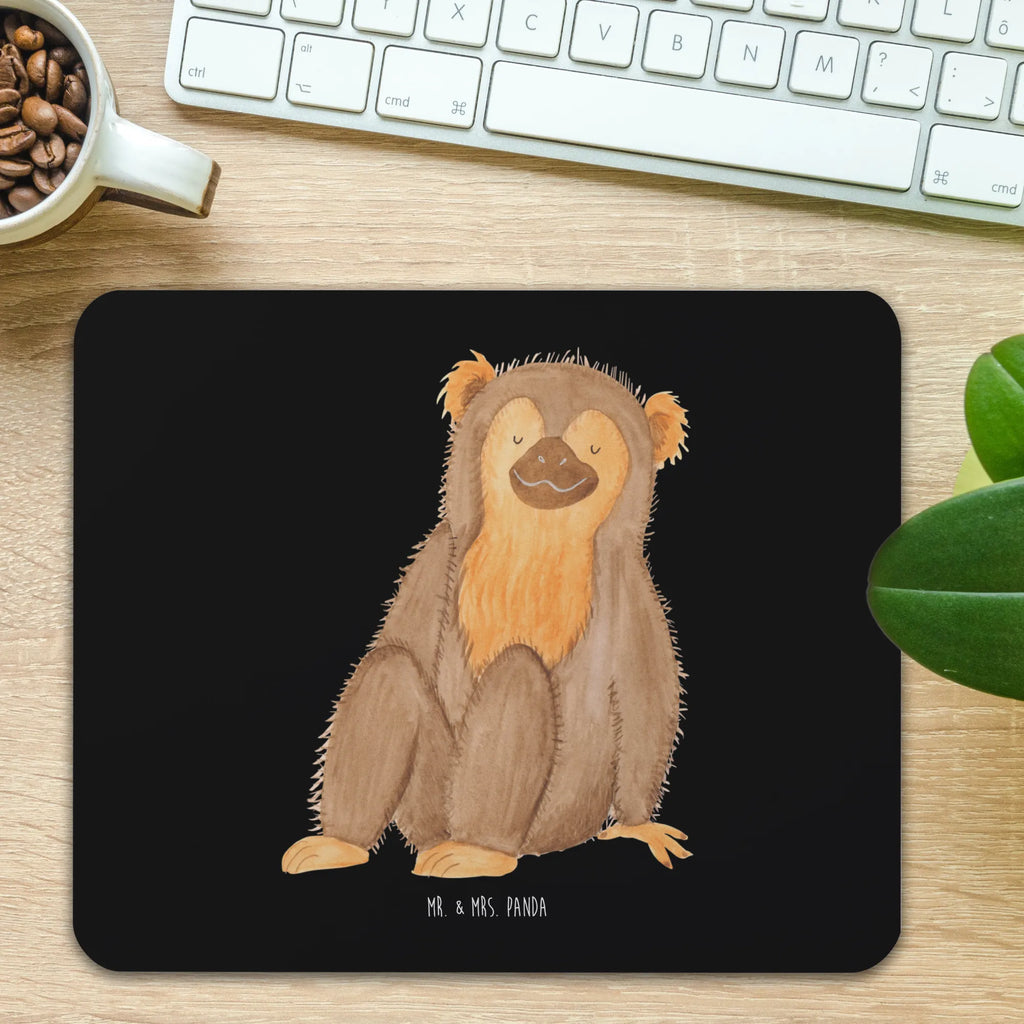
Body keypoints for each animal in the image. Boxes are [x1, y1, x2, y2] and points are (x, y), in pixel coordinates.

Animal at [281, 351, 691, 879]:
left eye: (594, 447)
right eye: (518, 438)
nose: (552, 455)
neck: (537, 535)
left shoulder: (630, 580)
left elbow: (646, 699)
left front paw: (638, 825)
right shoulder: (438, 553)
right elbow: (403, 640)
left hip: (560, 810)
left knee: (519, 673)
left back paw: (482, 850)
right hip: (432, 803)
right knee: (391, 667)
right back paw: (344, 844)